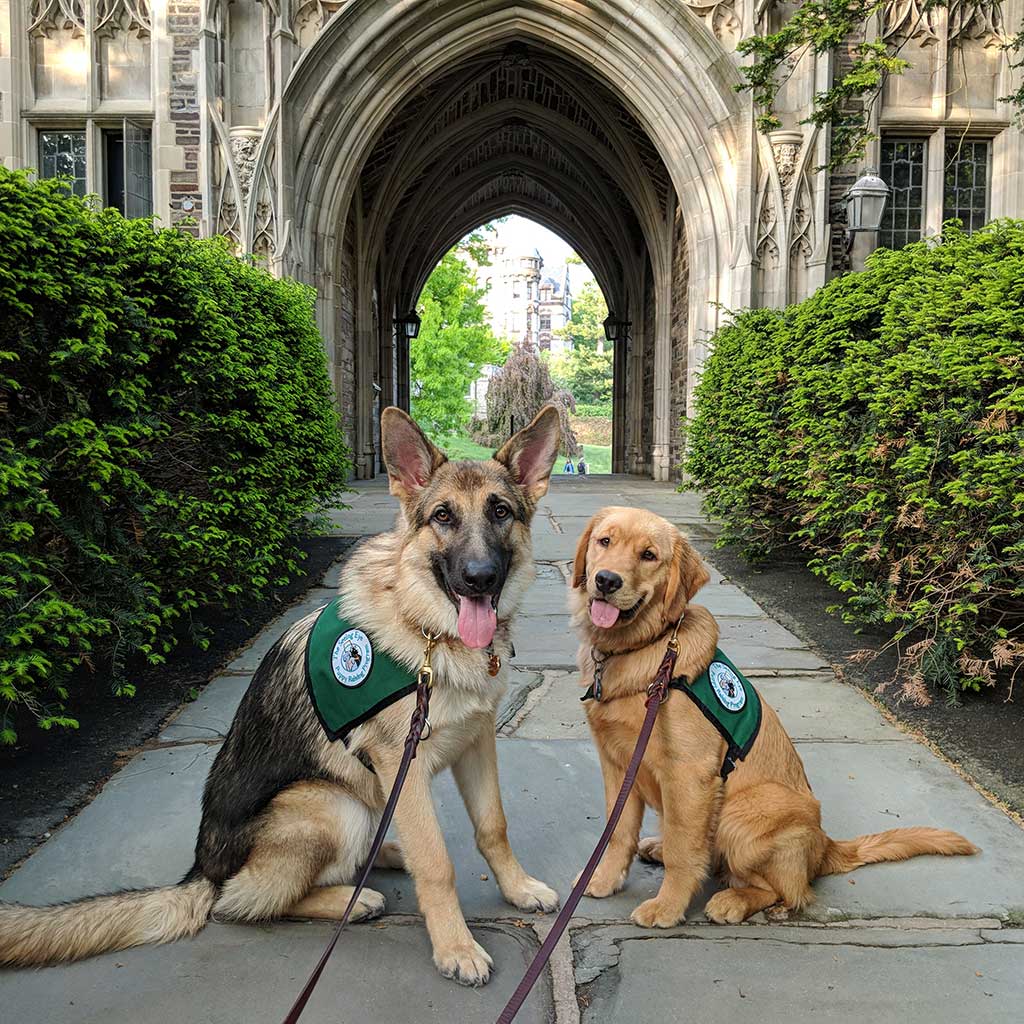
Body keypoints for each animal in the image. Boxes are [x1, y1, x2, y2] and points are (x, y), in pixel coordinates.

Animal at [0, 403, 561, 987]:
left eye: (500, 511)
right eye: (444, 517)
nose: (480, 578)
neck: (430, 631)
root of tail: (202, 871)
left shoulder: (476, 744)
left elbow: (493, 827)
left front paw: (518, 889)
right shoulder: (401, 760)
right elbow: (436, 862)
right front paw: (455, 945)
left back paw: (385, 853)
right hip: (330, 805)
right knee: (240, 902)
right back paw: (352, 898)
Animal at [569, 505, 974, 929]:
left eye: (649, 555)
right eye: (604, 541)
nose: (606, 580)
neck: (646, 650)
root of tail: (824, 846)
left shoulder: (690, 774)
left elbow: (684, 852)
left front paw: (668, 906)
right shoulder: (617, 763)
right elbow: (618, 833)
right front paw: (603, 878)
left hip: (743, 813)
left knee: (785, 890)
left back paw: (734, 901)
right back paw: (660, 849)